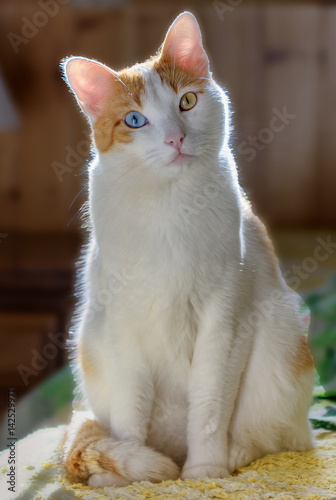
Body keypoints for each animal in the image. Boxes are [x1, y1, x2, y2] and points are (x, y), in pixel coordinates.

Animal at [61, 11, 316, 488]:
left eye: (187, 102)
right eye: (135, 120)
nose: (175, 139)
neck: (170, 205)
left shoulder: (225, 321)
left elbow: (210, 408)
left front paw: (204, 472)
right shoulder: (123, 327)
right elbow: (129, 411)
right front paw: (126, 476)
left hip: (282, 342)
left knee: (275, 438)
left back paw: (229, 457)